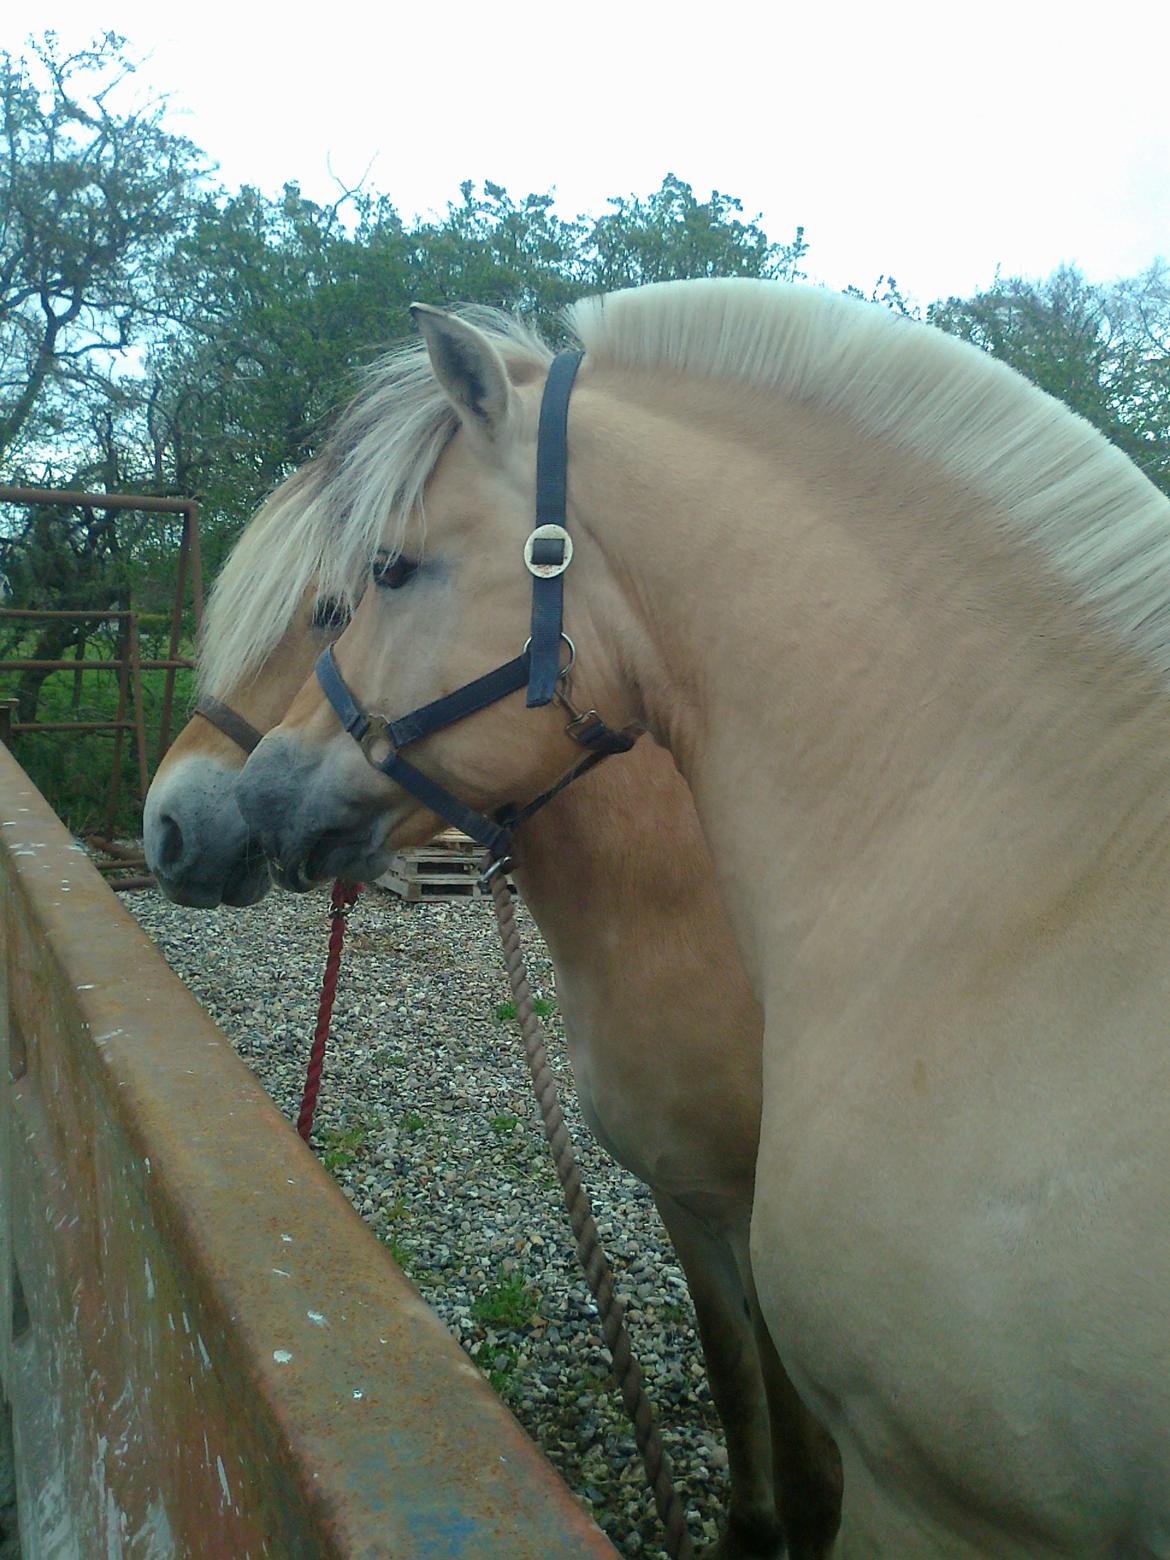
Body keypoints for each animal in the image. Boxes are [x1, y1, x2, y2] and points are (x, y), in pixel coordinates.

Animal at [144, 446, 842, 1553]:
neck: (690, 905)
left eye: (335, 607)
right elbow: (737, 1395)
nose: (167, 825)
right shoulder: (689, 1202)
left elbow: (813, 1472)